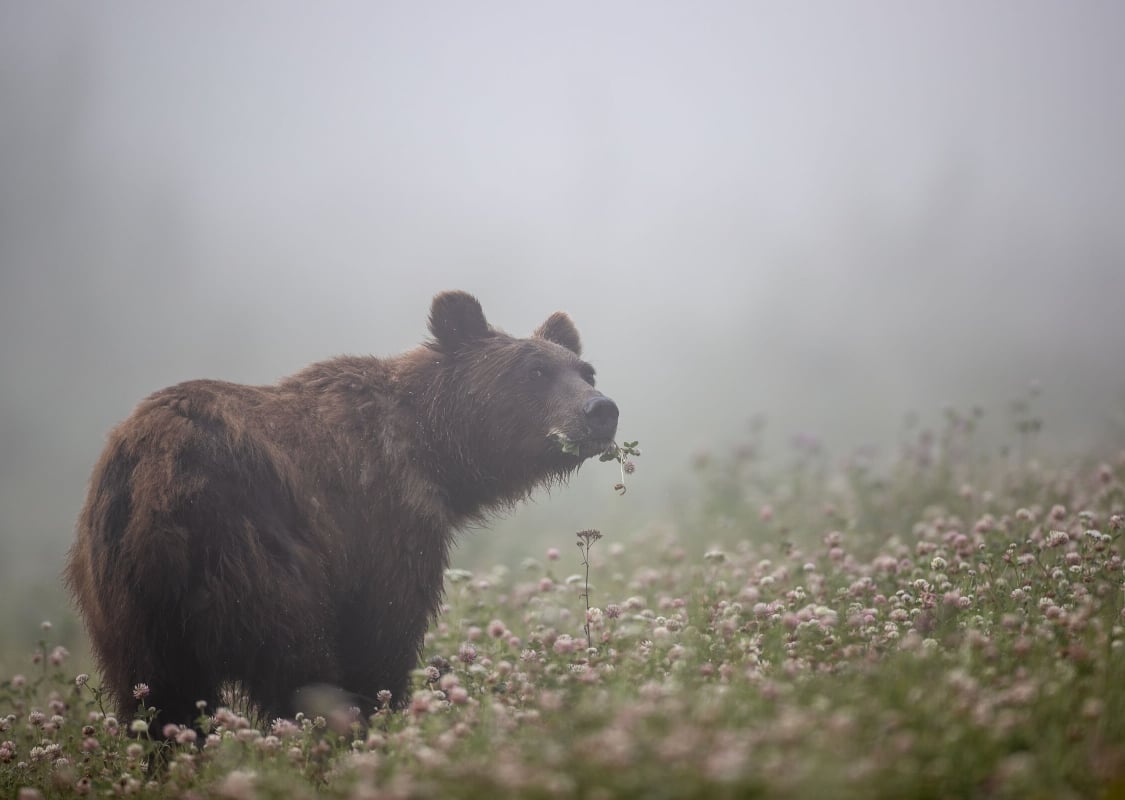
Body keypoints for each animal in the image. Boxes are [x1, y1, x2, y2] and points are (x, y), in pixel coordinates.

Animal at [65, 290, 618, 730]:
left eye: (585, 371)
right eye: (536, 371)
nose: (602, 410)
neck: (434, 450)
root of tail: (154, 472)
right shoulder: (384, 516)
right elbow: (381, 634)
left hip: (122, 598)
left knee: (156, 699)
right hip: (248, 547)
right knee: (297, 664)